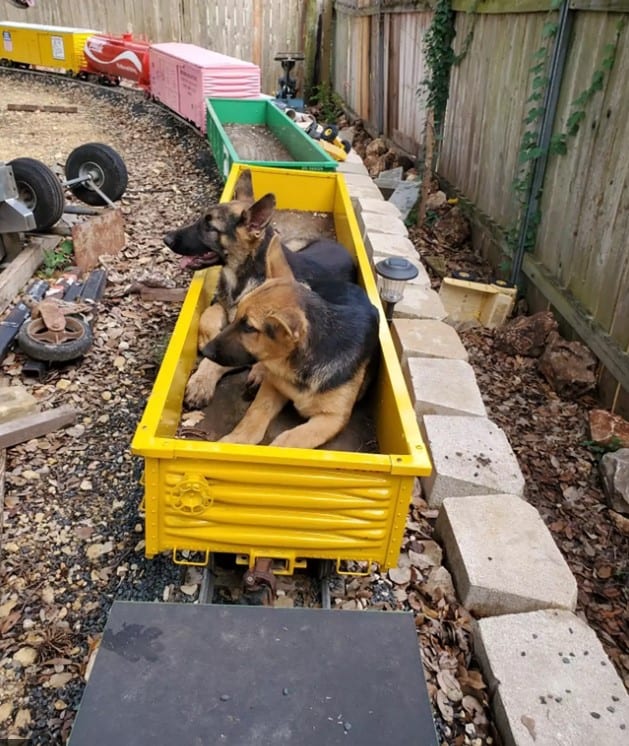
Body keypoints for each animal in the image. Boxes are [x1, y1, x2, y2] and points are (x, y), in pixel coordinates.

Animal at [201, 235, 378, 448]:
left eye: (249, 328)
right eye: (237, 318)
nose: (205, 351)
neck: (300, 366)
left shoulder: (332, 418)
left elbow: (290, 439)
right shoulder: (273, 386)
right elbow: (255, 414)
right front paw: (235, 440)